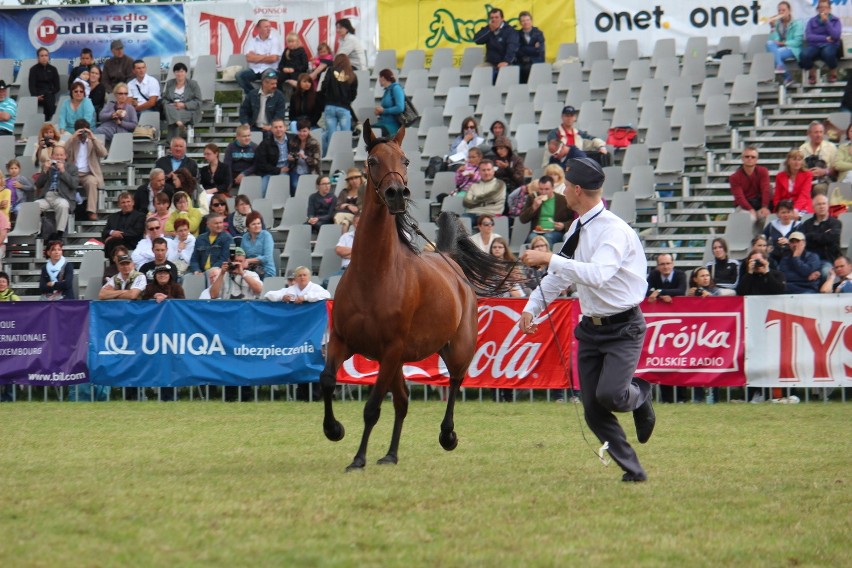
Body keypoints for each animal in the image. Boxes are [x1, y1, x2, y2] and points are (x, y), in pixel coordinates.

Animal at [320, 120, 516, 470]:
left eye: (406, 160)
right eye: (372, 161)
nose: (397, 194)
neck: (375, 275)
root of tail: (450, 261)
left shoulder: (391, 350)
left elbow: (372, 408)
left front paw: (358, 458)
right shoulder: (344, 341)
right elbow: (328, 381)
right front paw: (334, 429)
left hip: (458, 347)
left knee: (455, 382)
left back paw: (447, 435)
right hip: (398, 361)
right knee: (403, 401)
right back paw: (390, 454)